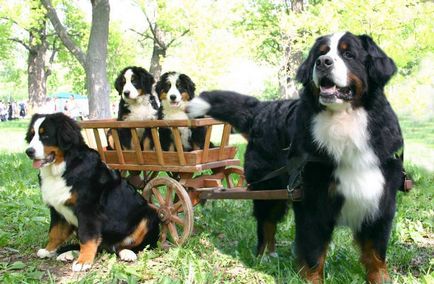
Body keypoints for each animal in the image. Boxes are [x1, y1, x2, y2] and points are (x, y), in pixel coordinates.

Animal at [24, 112, 159, 272]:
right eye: (32, 135)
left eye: (45, 135)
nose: (28, 151)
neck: (64, 169)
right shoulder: (57, 209)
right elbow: (55, 232)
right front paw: (48, 250)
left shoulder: (87, 210)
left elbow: (87, 236)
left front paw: (84, 262)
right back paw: (67, 253)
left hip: (149, 214)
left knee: (130, 246)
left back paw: (127, 253)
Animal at [188, 32, 406, 282]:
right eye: (320, 54)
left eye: (349, 54)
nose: (323, 63)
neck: (344, 124)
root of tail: (262, 109)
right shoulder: (313, 202)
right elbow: (313, 252)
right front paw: (311, 279)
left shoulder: (380, 201)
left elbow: (375, 252)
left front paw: (381, 278)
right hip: (268, 188)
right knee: (266, 222)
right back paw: (265, 255)